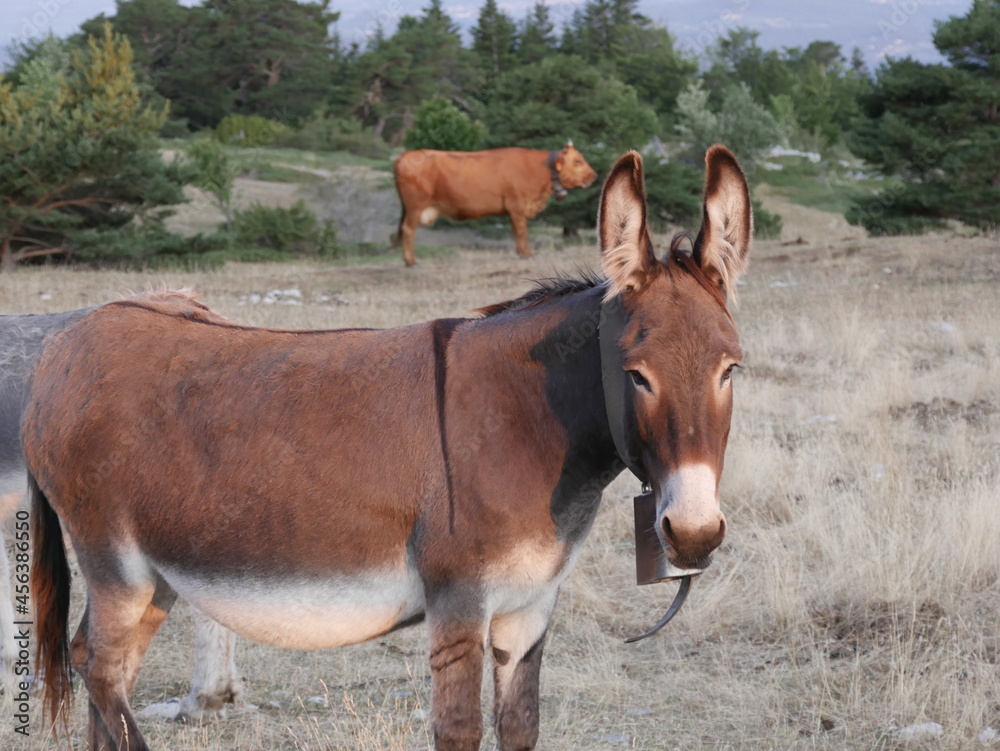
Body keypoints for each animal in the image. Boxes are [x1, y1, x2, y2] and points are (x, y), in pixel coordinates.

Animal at [388, 140, 592, 266]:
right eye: (577, 160)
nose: (593, 175)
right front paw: (527, 254)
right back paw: (410, 261)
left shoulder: (513, 210)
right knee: (408, 230)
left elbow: (516, 232)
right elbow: (522, 232)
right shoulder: (517, 205)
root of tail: (407, 155)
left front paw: (521, 253)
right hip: (414, 207)